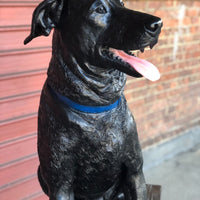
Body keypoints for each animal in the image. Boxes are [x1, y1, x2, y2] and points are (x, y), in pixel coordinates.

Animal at [24, 0, 162, 200]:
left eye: (122, 3)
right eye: (99, 9)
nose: (157, 24)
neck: (97, 105)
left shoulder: (135, 172)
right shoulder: (60, 186)